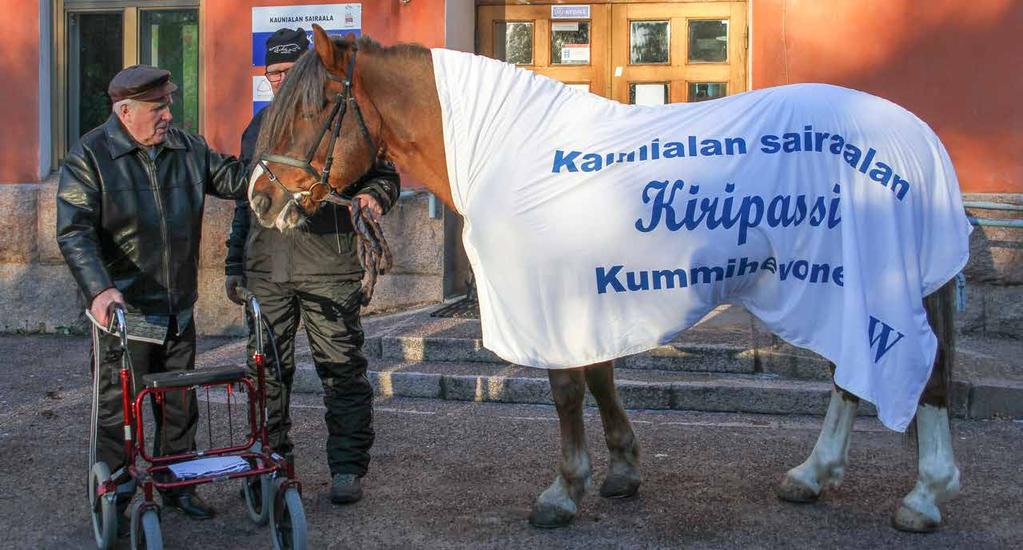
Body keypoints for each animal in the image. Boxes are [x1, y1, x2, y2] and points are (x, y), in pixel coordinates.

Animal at [245, 24, 965, 531]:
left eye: (311, 109)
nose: (258, 197)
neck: (509, 152)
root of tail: (918, 137)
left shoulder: (550, 291)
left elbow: (568, 388)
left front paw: (564, 490)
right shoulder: (585, 294)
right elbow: (599, 376)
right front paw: (621, 470)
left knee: (922, 375)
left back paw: (922, 497)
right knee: (853, 377)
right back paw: (812, 475)